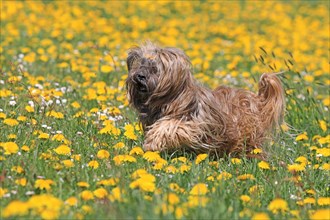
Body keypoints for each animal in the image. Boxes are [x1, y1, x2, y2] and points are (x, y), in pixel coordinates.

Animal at [125, 42, 284, 156]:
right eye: (141, 64)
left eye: (155, 69)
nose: (139, 76)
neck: (169, 100)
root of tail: (256, 100)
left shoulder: (195, 123)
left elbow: (170, 126)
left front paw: (152, 143)